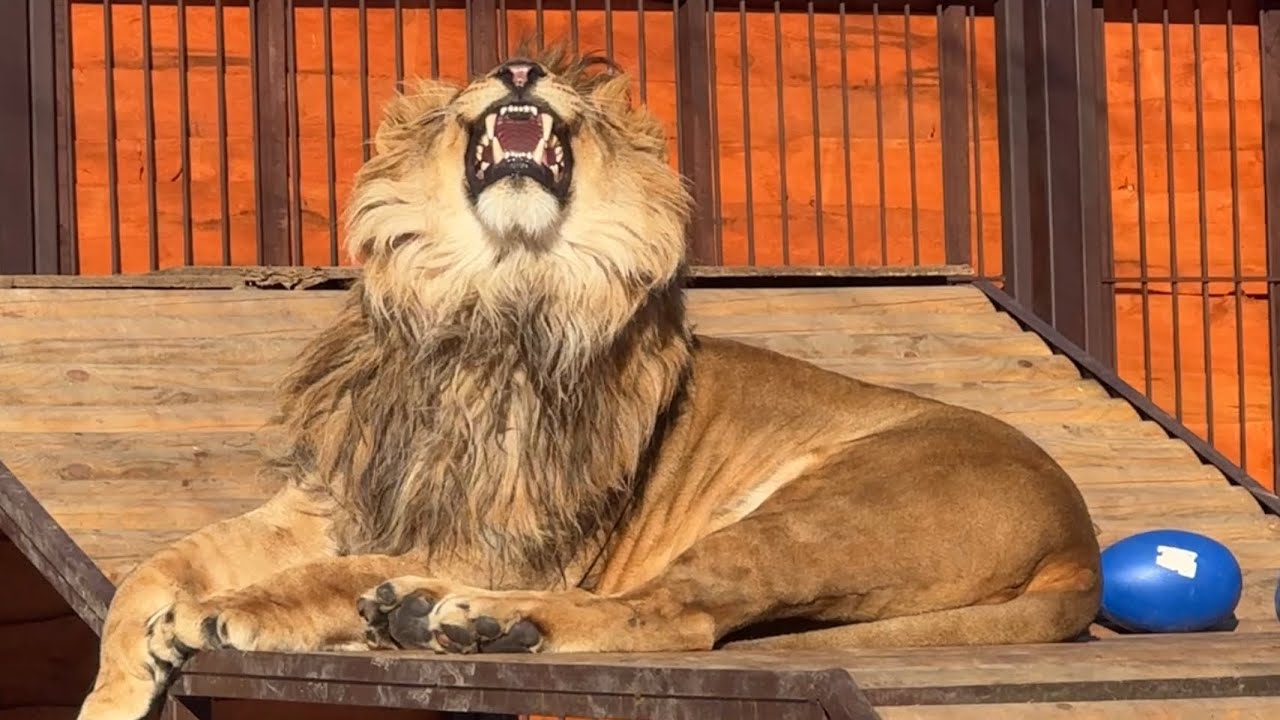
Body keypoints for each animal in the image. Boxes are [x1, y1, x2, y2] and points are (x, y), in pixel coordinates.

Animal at [77, 45, 1102, 720]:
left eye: (565, 88)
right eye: (472, 80)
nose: (521, 68)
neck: (487, 294)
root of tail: (1080, 539)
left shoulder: (511, 539)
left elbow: (320, 576)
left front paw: (226, 614)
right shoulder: (332, 500)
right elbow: (154, 569)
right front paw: (116, 692)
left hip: (821, 513)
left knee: (677, 614)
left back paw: (478, 623)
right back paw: (421, 617)